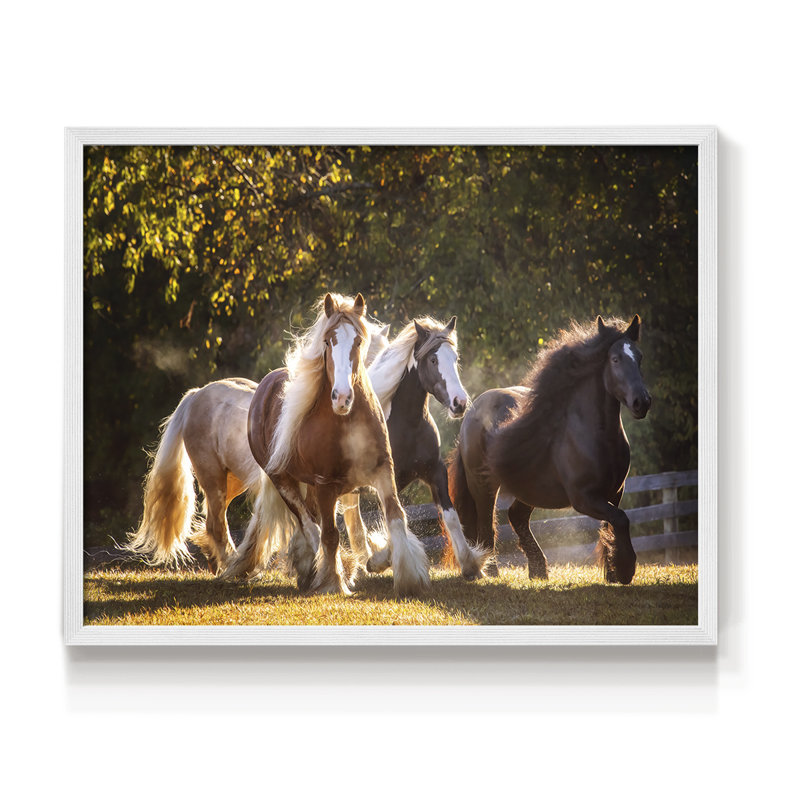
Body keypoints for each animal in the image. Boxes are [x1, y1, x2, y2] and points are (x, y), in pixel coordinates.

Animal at [124, 323, 390, 574]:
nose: (345, 399)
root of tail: (196, 395)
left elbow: (350, 525)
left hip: (232, 482)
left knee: (213, 522)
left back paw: (220, 565)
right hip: (213, 478)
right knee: (218, 524)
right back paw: (231, 565)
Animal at [222, 292, 431, 597]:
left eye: (358, 341)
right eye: (329, 341)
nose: (342, 397)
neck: (347, 422)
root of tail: (265, 385)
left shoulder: (383, 470)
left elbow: (395, 516)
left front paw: (410, 578)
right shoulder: (325, 484)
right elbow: (330, 534)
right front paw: (334, 582)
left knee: (311, 523)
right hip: (283, 481)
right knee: (309, 525)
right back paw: (320, 570)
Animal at [339, 316, 490, 579]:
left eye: (455, 358)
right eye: (433, 360)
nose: (459, 403)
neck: (408, 426)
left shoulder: (435, 472)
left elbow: (450, 516)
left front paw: (471, 565)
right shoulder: (388, 481)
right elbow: (396, 518)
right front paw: (379, 560)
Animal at [448, 315, 651, 584]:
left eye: (639, 357)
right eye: (615, 359)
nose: (642, 402)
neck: (598, 438)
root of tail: (471, 411)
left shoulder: (616, 492)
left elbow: (612, 526)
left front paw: (613, 571)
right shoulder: (584, 498)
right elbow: (620, 519)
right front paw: (625, 569)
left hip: (530, 488)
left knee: (517, 517)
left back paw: (538, 570)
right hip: (483, 486)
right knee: (486, 527)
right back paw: (490, 572)